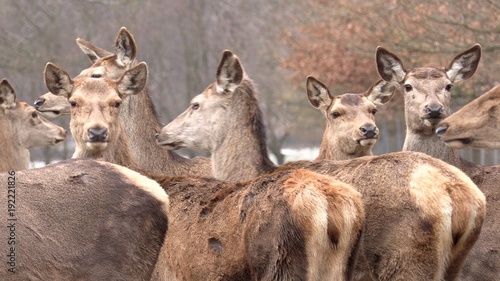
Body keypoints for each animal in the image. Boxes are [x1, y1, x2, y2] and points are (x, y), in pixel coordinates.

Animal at [156, 49, 484, 280]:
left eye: (195, 103)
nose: (162, 133)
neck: (252, 172)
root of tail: (459, 195)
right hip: (455, 263)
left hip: (405, 260)